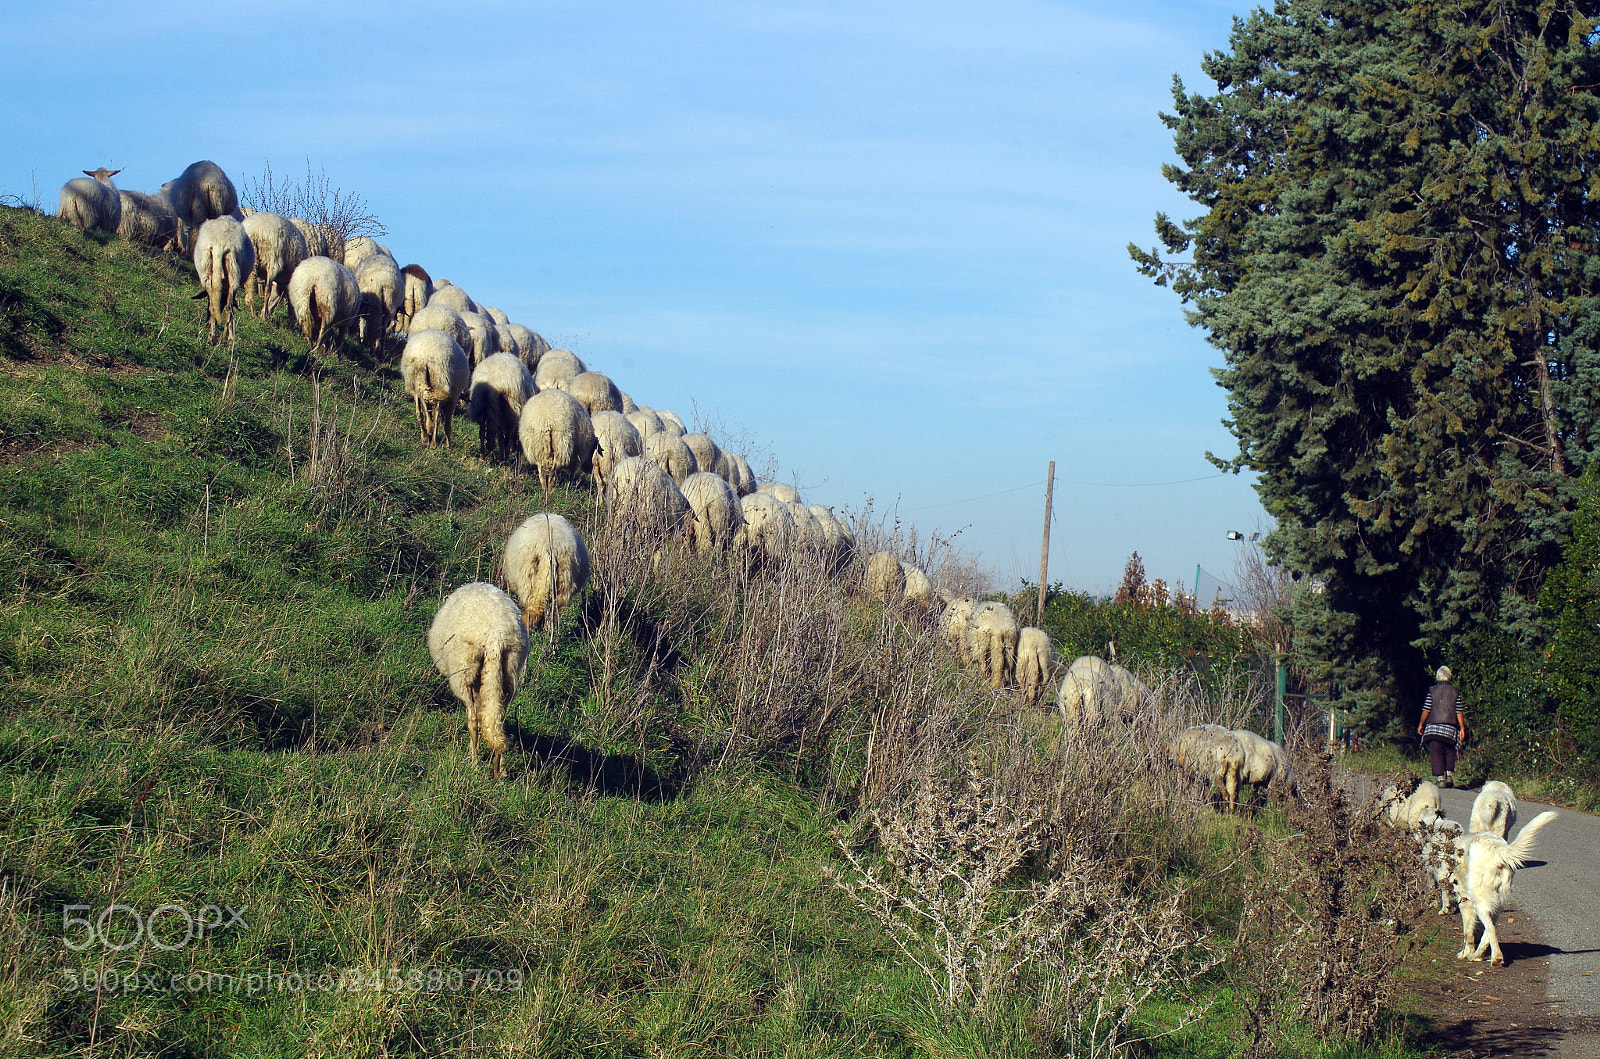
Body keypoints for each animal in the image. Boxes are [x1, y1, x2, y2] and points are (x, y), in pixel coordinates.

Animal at [191, 215, 256, 348]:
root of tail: (219, 242)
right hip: (233, 269)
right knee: (229, 308)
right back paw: (227, 338)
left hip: (205, 268)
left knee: (212, 304)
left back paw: (212, 337)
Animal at [1459, 812, 1555, 972]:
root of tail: (1497, 850)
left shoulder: (1464, 903)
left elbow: (1468, 933)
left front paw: (1463, 953)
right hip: (1497, 903)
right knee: (1490, 929)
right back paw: (1478, 955)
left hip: (1481, 902)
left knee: (1491, 928)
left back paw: (1495, 958)